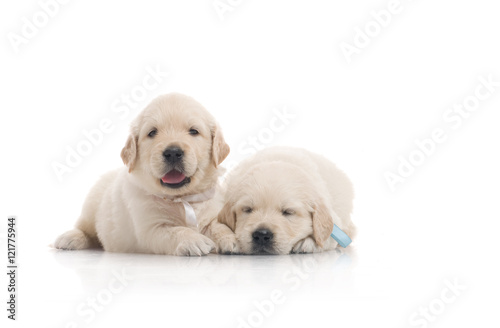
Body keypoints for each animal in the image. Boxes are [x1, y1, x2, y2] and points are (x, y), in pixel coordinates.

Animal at [52, 92, 229, 256]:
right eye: (152, 133)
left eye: (193, 131)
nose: (173, 152)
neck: (181, 198)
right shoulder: (151, 229)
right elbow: (175, 231)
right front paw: (194, 239)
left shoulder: (212, 214)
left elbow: (217, 226)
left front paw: (228, 239)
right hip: (90, 207)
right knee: (85, 229)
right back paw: (69, 238)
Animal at [213, 147, 354, 255]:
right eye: (247, 209)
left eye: (288, 212)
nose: (262, 235)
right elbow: (219, 224)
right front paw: (228, 240)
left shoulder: (335, 221)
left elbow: (327, 236)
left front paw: (308, 242)